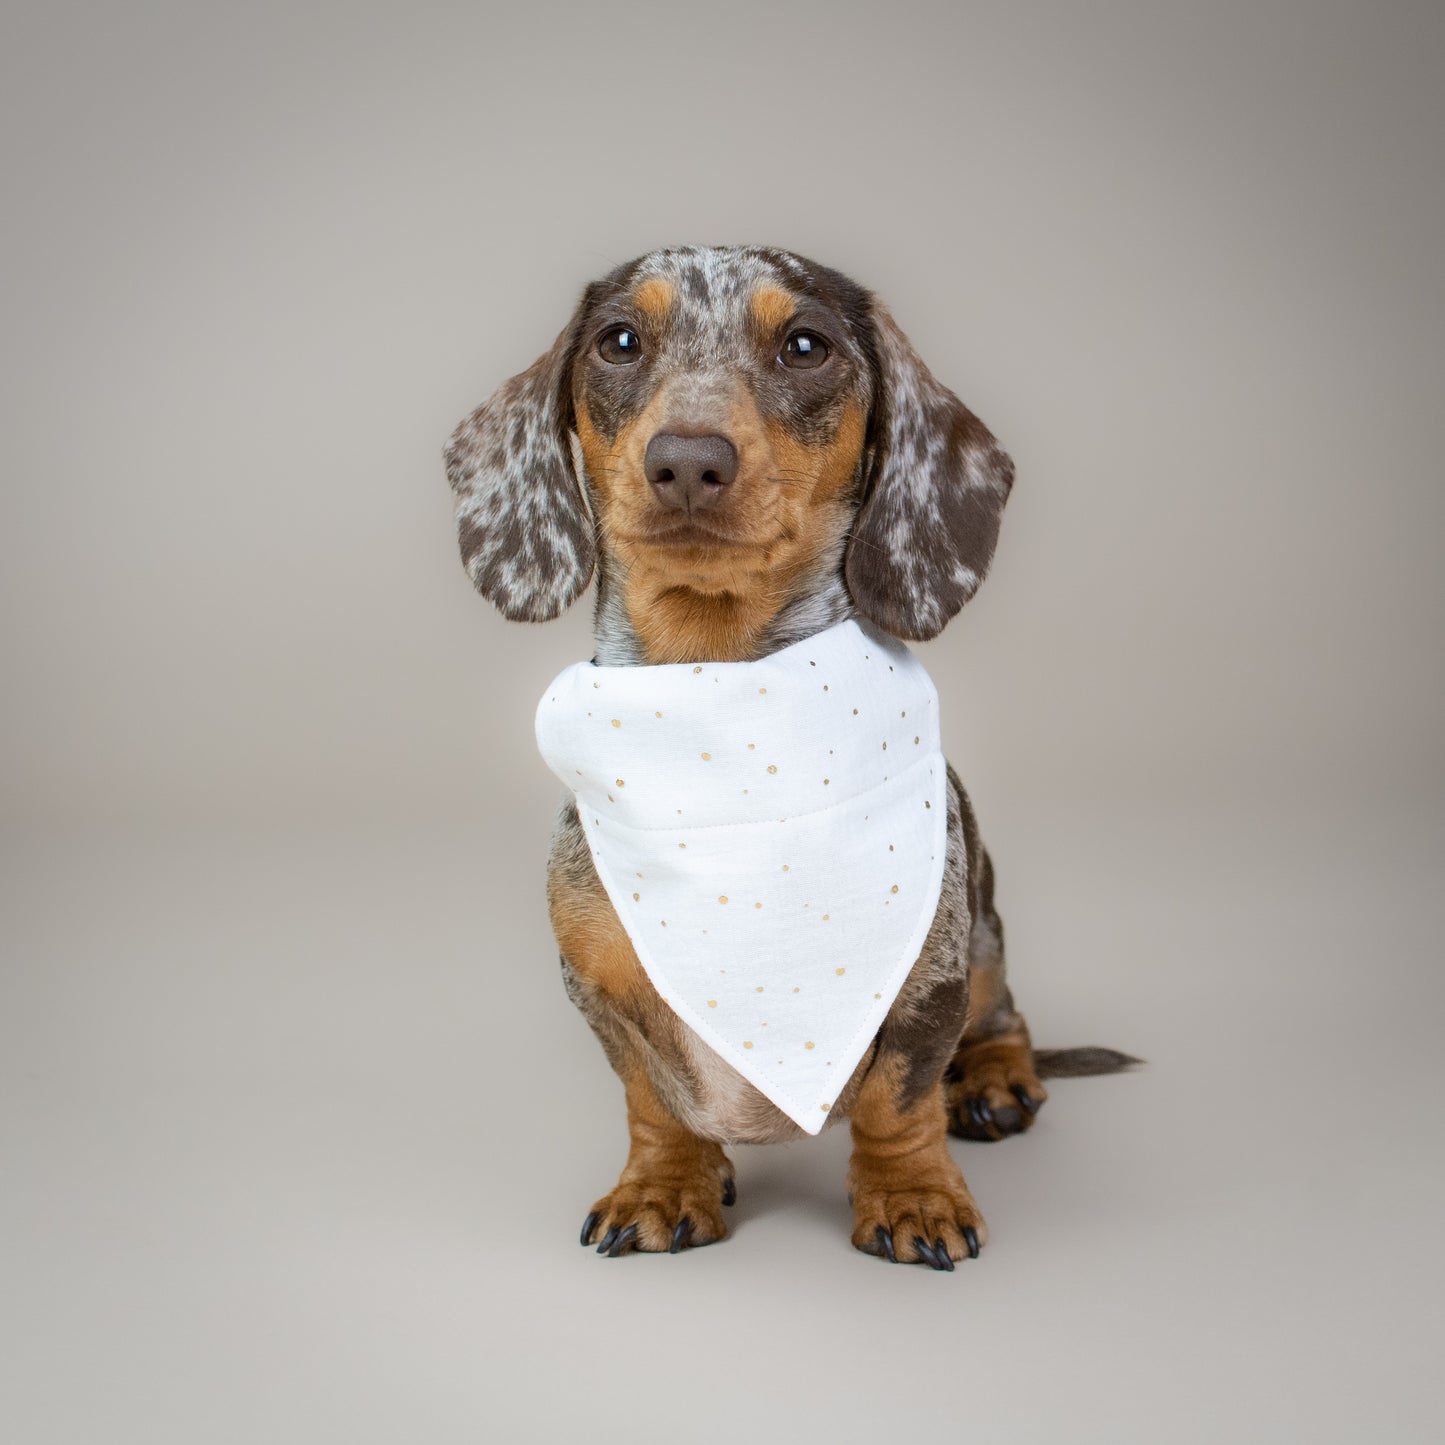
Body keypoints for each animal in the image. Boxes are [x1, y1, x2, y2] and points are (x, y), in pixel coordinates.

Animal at [445, 245, 1132, 1265]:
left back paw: (994, 1080)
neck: (721, 694)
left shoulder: (928, 980)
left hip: (985, 935)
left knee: (1002, 1013)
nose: (688, 461)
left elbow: (898, 1098)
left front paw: (911, 1194)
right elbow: (652, 1098)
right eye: (619, 341)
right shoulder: (597, 988)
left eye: (805, 345)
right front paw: (664, 1183)